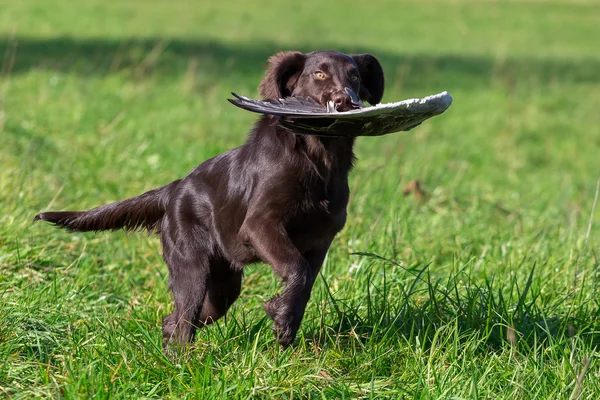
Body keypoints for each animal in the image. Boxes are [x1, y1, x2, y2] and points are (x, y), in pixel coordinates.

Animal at [36, 50, 384, 350]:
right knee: (183, 322)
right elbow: (297, 269)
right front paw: (282, 317)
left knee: (175, 321)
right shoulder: (260, 224)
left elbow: (307, 281)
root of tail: (175, 188)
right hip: (192, 267)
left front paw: (287, 320)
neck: (318, 156)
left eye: (354, 76)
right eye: (319, 74)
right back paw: (181, 366)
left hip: (222, 287)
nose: (345, 101)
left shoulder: (321, 239)